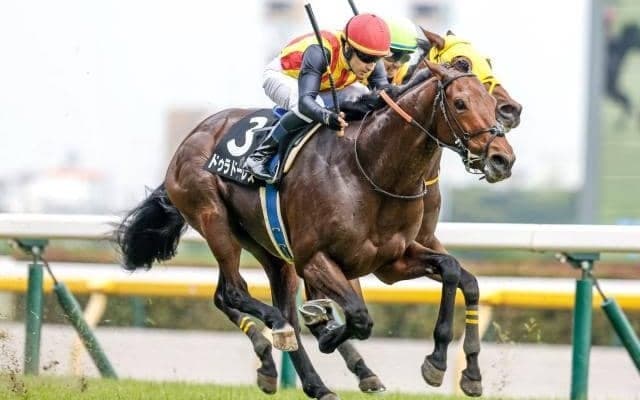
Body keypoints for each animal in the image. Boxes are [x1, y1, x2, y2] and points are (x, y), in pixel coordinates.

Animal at [116, 59, 515, 400]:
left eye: (492, 104)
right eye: (460, 103)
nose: (502, 158)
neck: (370, 167)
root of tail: (190, 138)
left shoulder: (393, 261)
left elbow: (455, 272)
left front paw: (449, 367)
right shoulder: (315, 259)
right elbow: (359, 316)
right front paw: (329, 334)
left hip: (268, 246)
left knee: (249, 299)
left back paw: (311, 380)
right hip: (214, 219)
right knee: (239, 294)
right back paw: (283, 336)